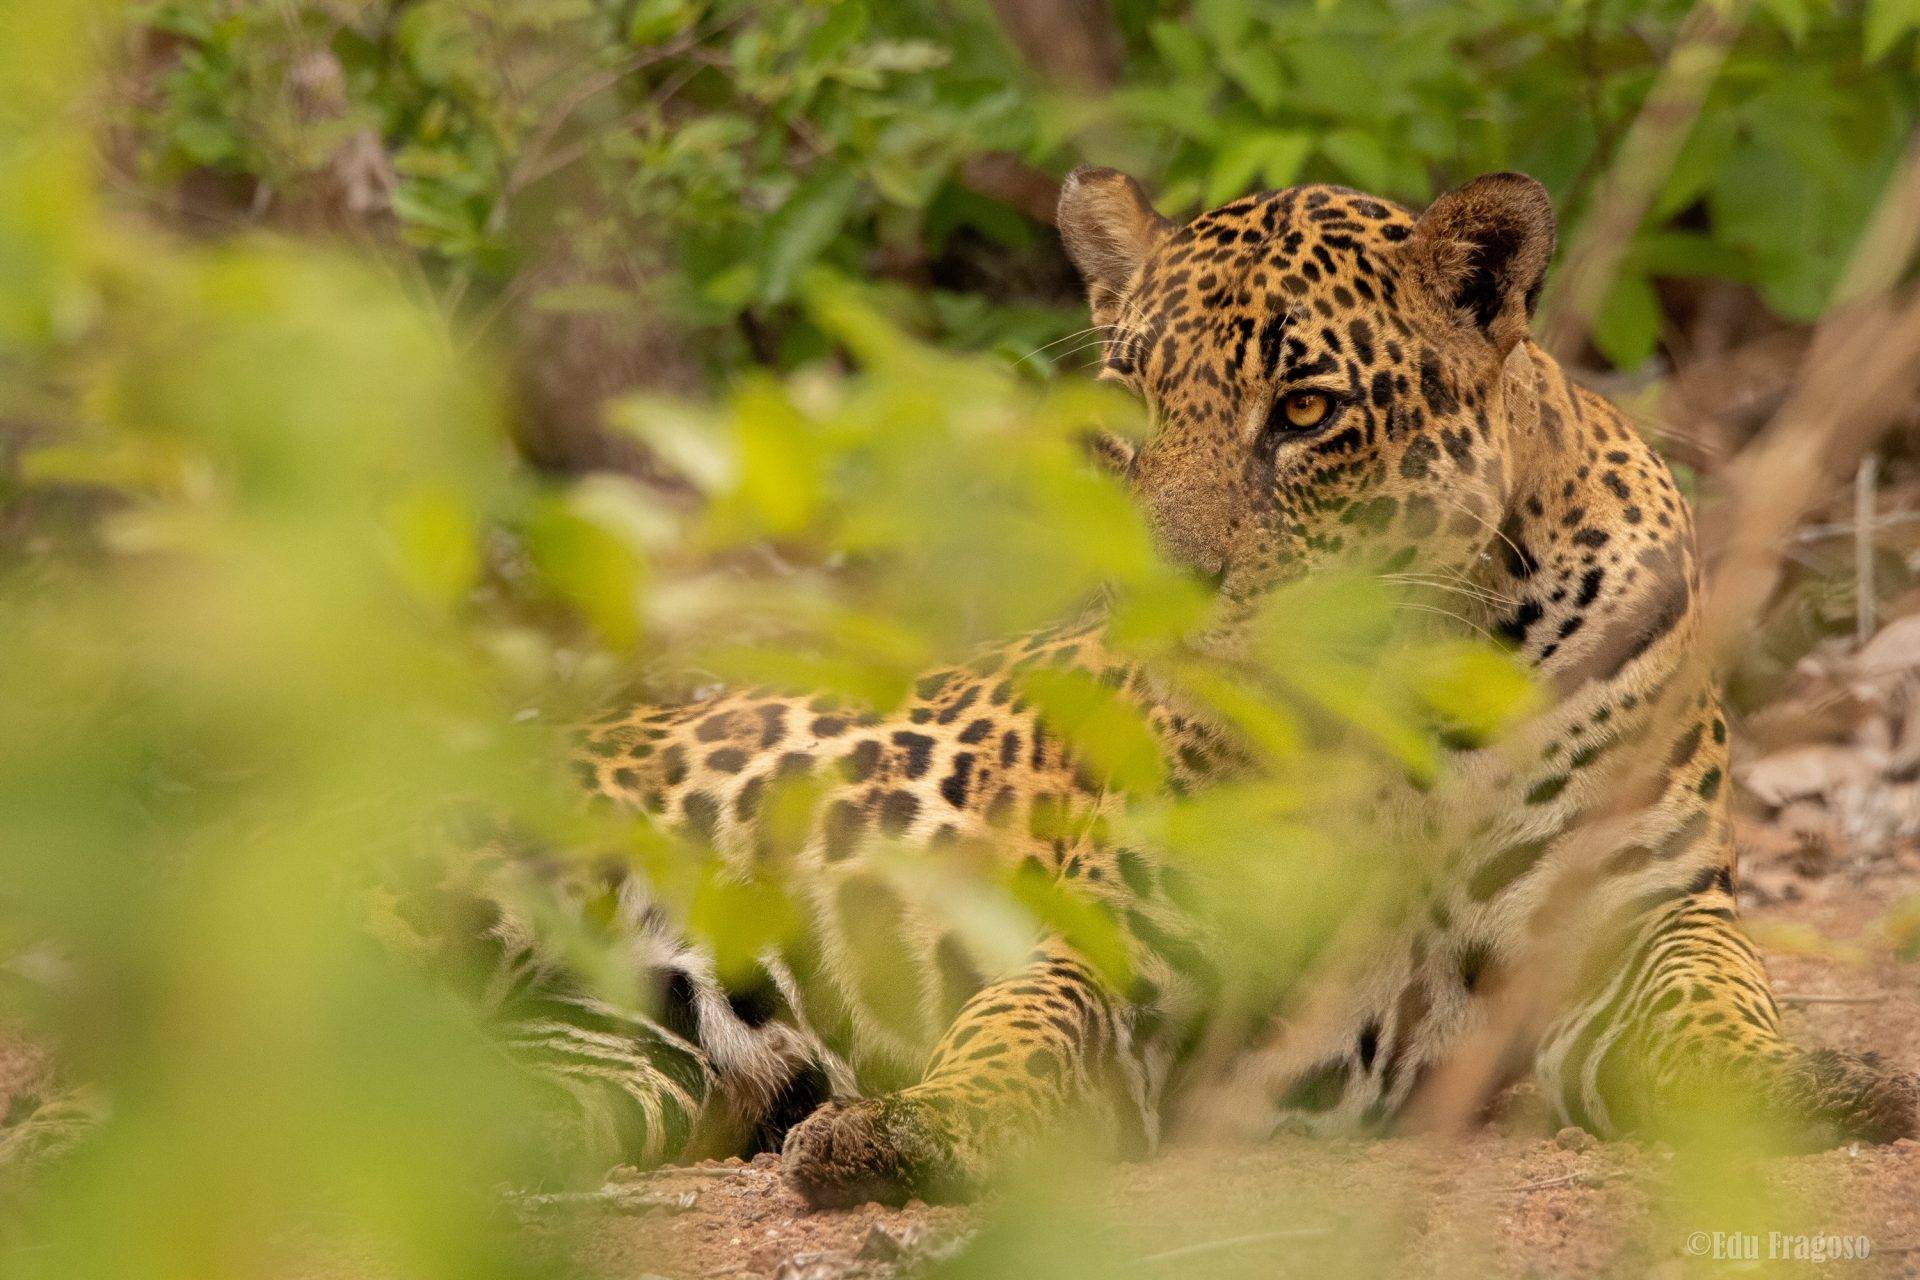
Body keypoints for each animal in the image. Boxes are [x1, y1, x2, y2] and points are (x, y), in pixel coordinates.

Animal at [480, 167, 1917, 1210]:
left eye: (1306, 411)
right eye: (1129, 407)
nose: (1159, 595)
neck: (1401, 704)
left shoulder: (1640, 918)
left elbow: (1716, 1009)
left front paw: (1812, 1079)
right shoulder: (1122, 947)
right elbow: (1015, 1029)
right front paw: (906, 1130)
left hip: (608, 1062)